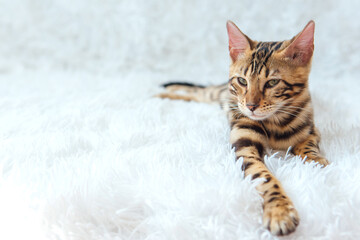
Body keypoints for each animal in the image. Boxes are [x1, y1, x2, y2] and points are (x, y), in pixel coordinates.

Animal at [156, 21, 328, 236]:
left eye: (272, 82)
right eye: (242, 81)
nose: (251, 106)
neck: (276, 122)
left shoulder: (312, 129)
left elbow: (308, 145)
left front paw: (316, 159)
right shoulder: (244, 144)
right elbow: (264, 177)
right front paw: (279, 210)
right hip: (215, 95)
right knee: (197, 92)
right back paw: (166, 94)